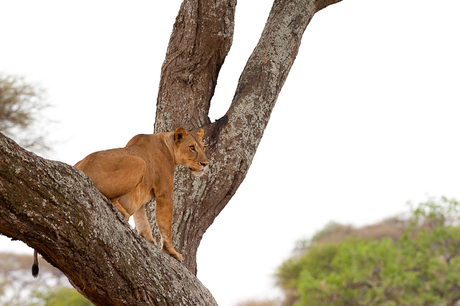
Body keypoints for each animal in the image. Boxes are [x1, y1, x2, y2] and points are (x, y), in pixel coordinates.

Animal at [33, 126, 209, 278]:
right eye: (192, 147)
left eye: (203, 147)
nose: (206, 164)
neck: (169, 148)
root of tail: (79, 167)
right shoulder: (164, 192)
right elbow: (165, 224)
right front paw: (171, 251)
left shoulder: (142, 197)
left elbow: (142, 219)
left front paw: (149, 240)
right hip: (139, 163)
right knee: (108, 197)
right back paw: (122, 213)